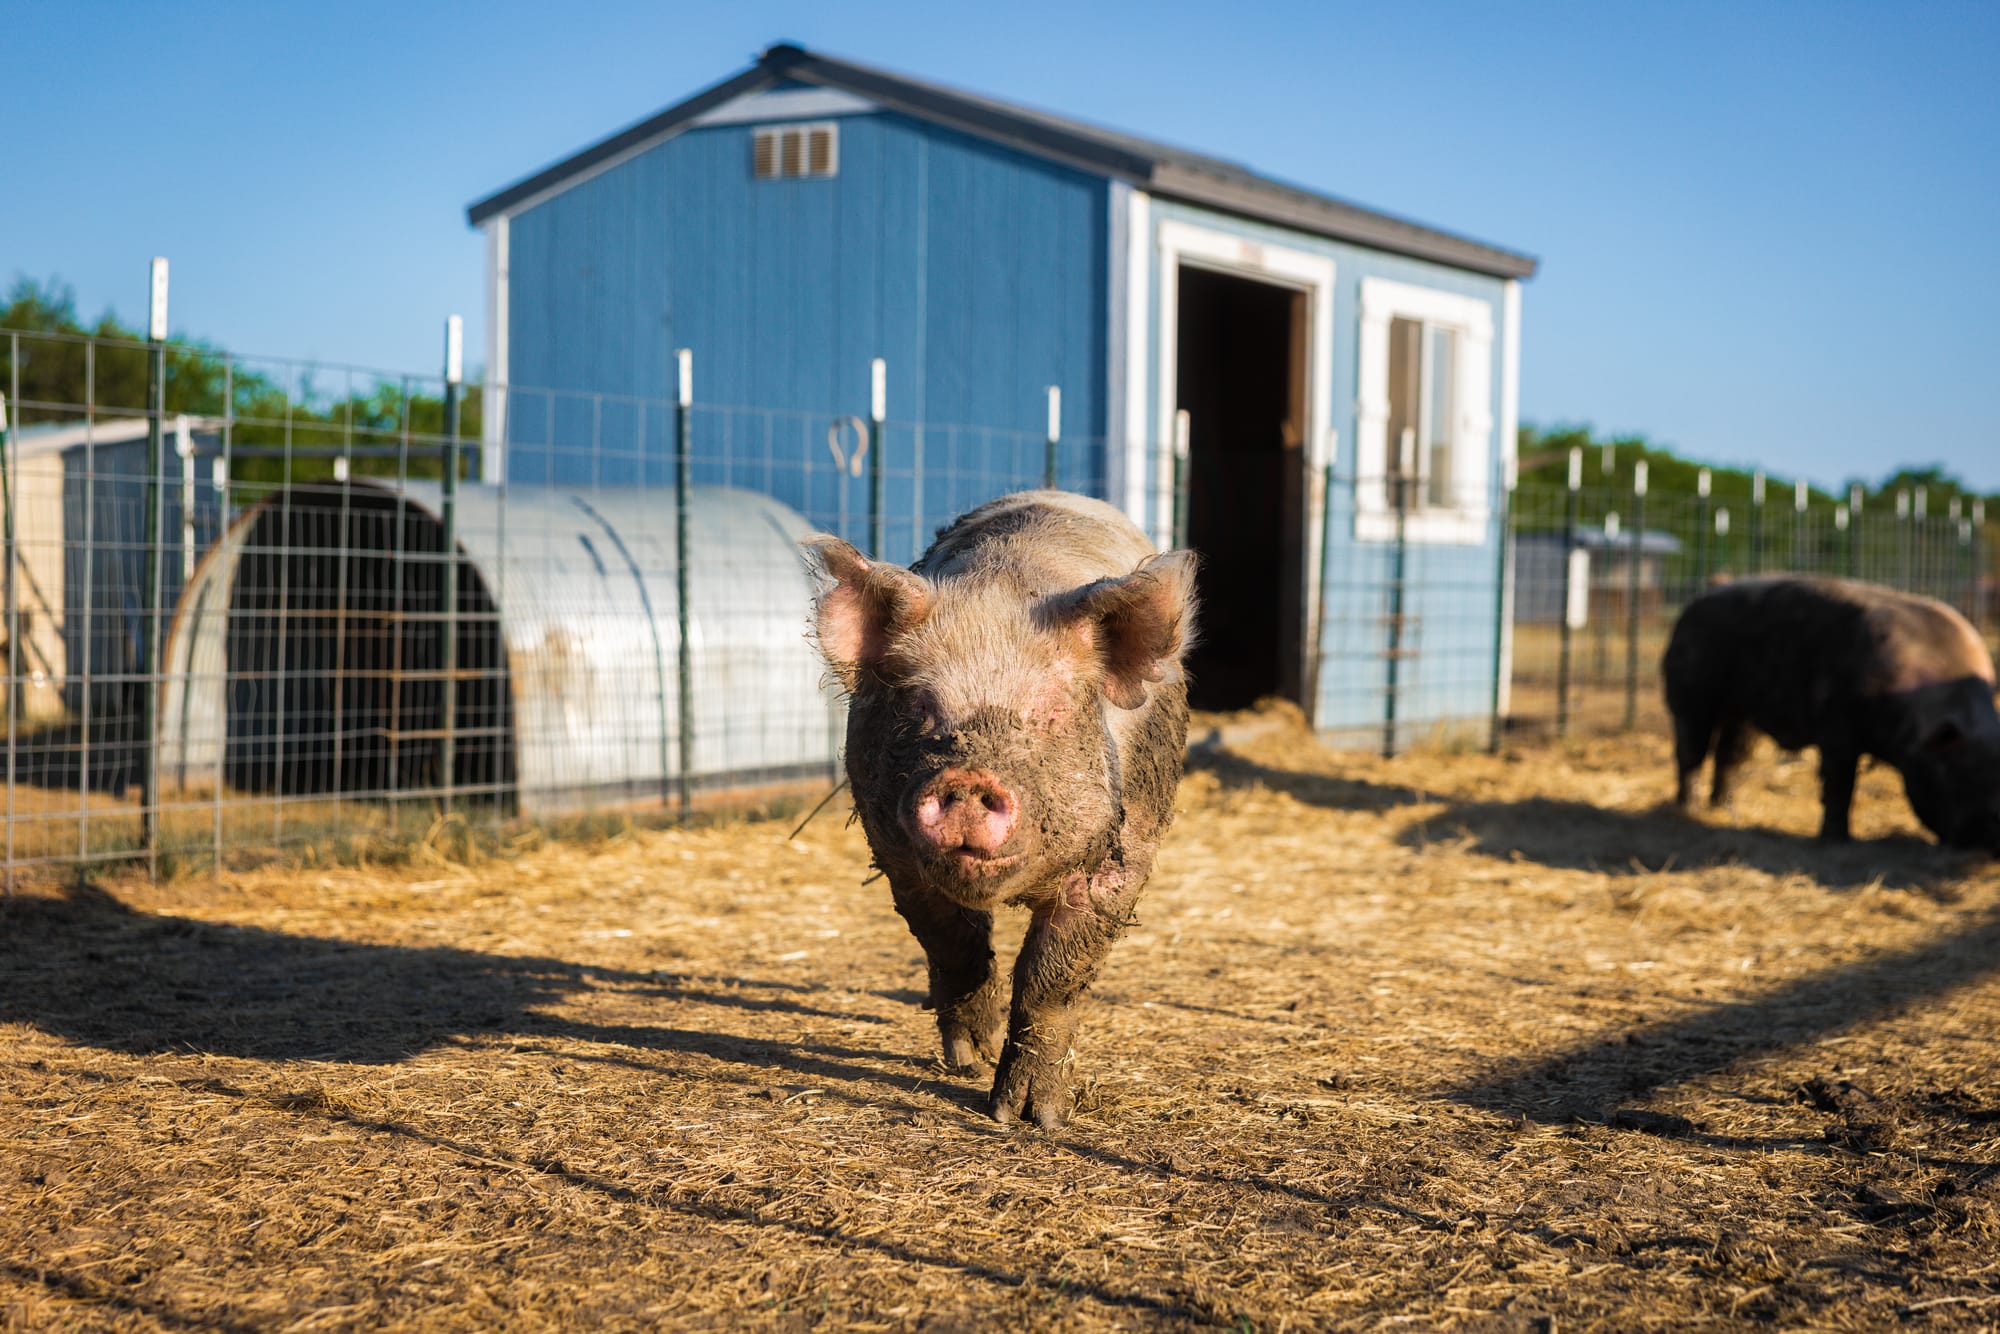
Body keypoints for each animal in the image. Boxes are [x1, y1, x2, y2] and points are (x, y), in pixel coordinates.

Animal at [804, 491, 1197, 1128]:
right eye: (920, 707)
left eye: (1050, 711)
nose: (967, 781)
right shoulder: (896, 855)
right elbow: (952, 944)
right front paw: (968, 1061)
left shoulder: (1121, 857)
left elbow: (1053, 977)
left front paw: (1030, 1118)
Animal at [1662, 574, 2000, 851]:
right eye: (1967, 775)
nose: (1990, 844)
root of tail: (1691, 608)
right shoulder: (1838, 728)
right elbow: (1840, 783)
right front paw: (1837, 840)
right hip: (1691, 697)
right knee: (1691, 752)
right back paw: (1688, 809)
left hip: (1741, 713)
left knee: (1730, 755)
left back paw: (1724, 809)